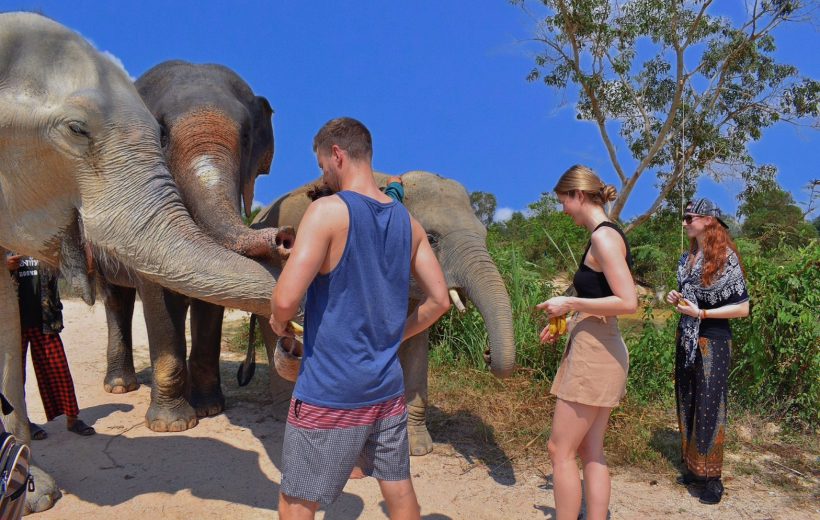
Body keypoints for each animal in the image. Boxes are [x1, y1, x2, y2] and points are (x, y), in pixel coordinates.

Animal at [99, 60, 294, 433]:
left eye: (246, 137)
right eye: (161, 134)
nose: (285, 237)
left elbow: (212, 300)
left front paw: (210, 410)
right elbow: (156, 294)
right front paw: (172, 426)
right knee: (116, 299)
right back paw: (118, 387)